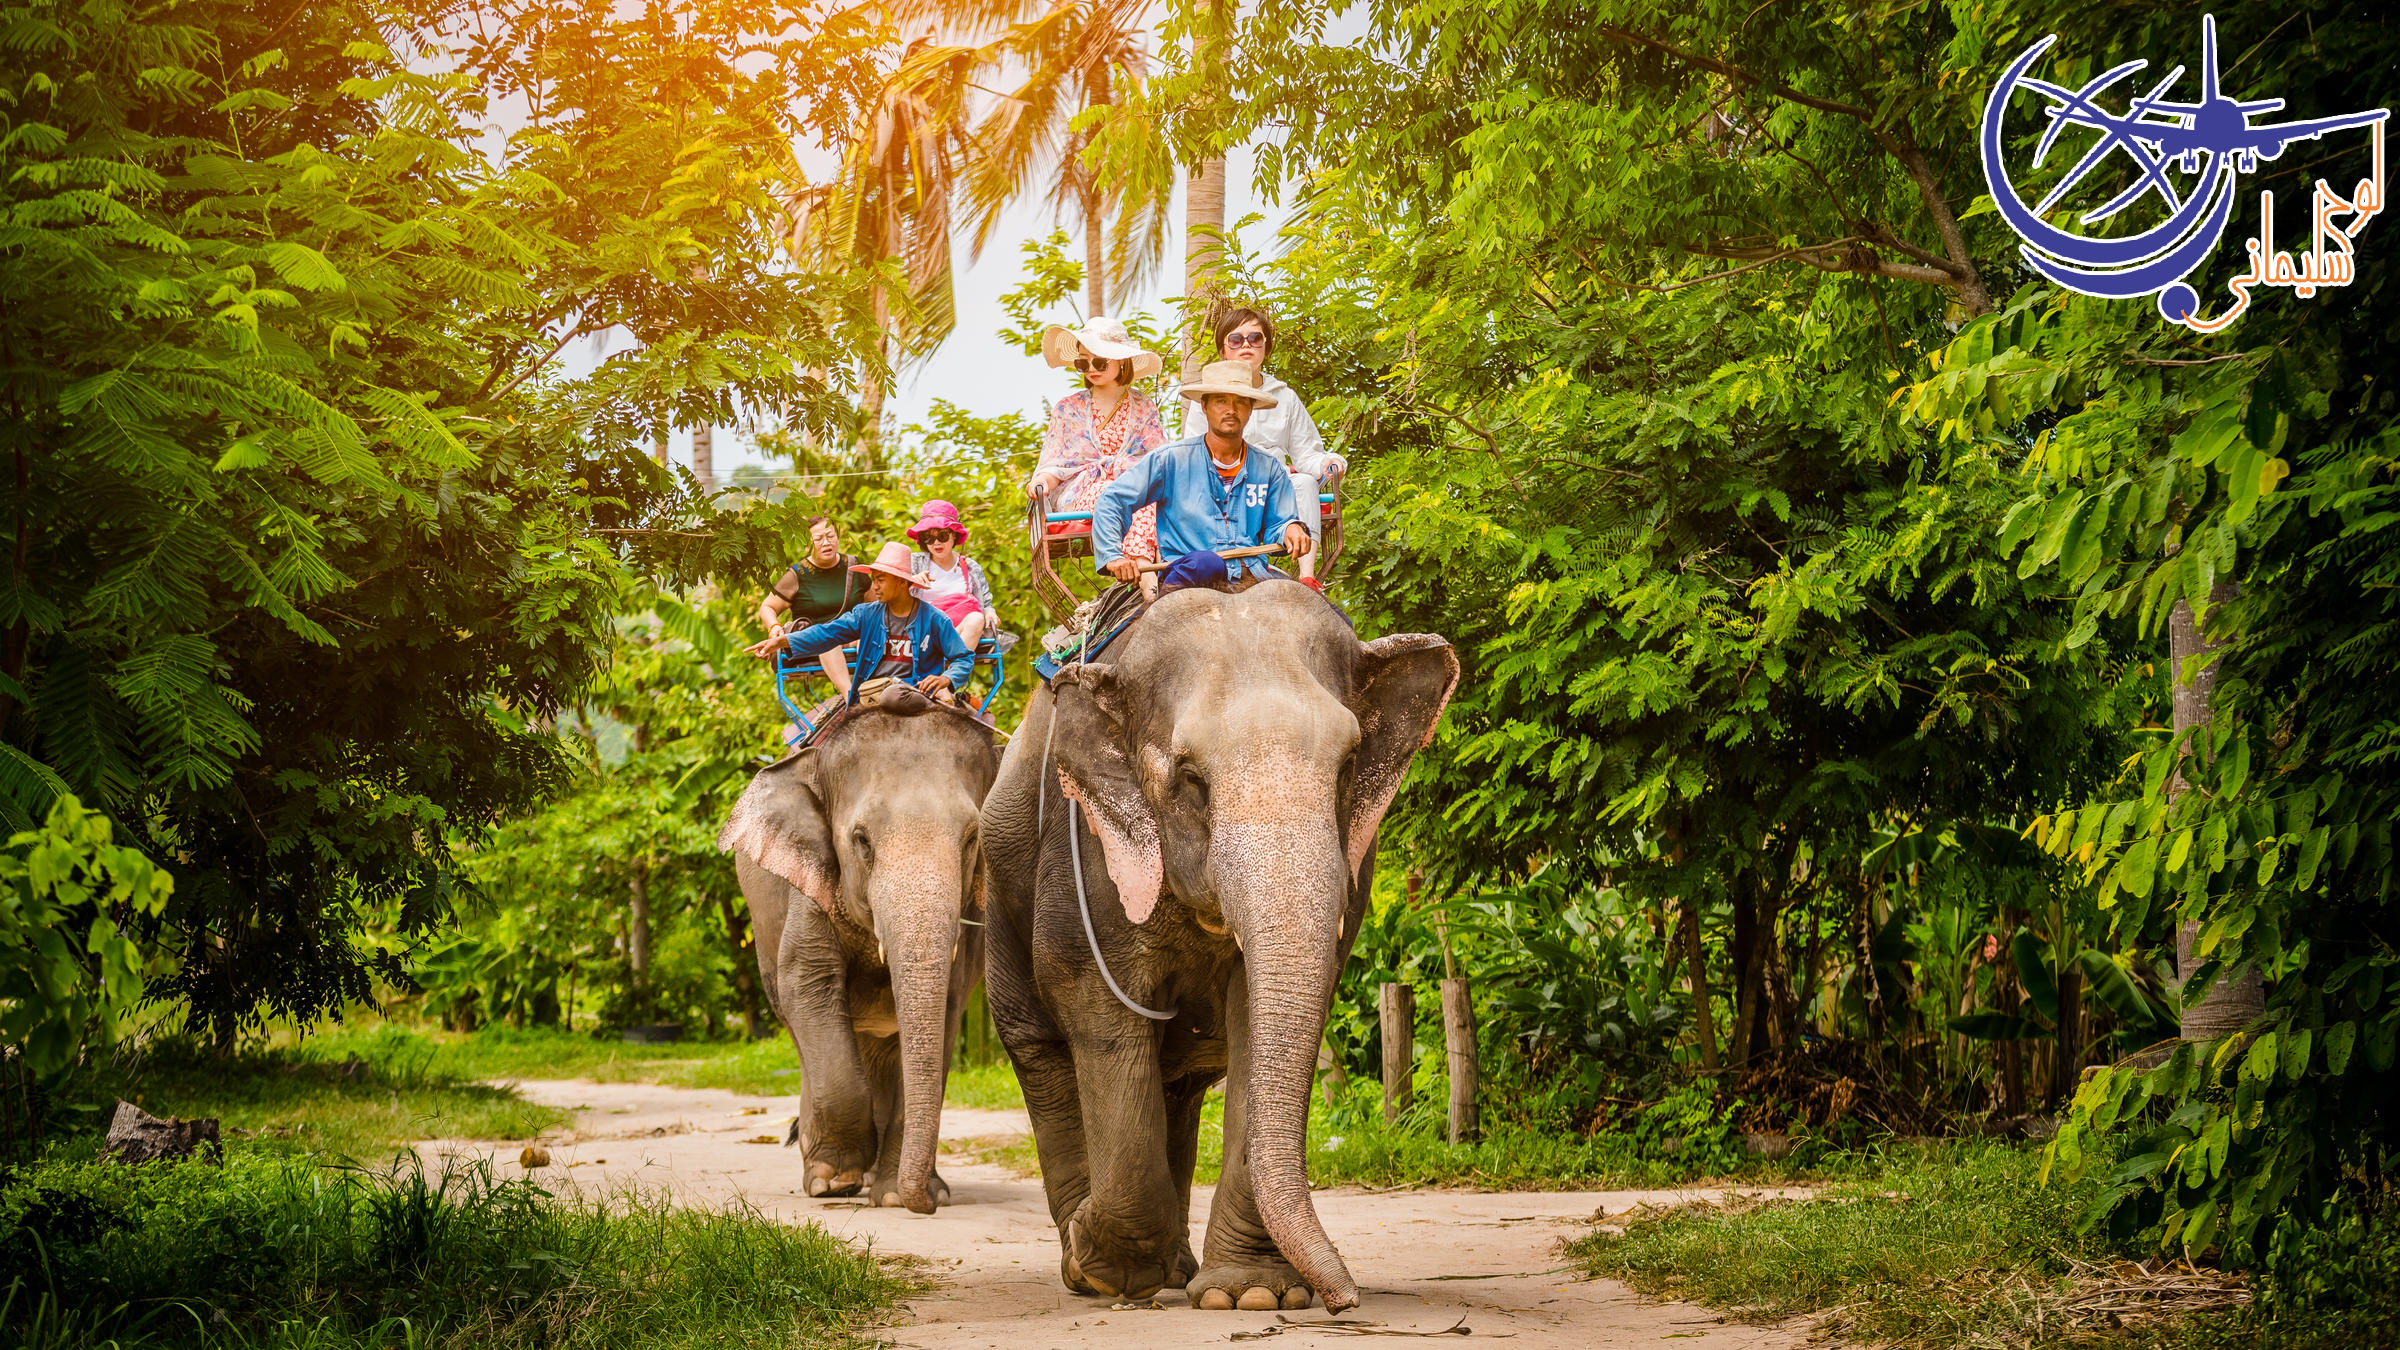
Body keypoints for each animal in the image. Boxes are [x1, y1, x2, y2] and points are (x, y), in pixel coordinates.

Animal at [710, 691, 993, 1210]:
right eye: (861, 840)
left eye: (970, 838)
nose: (927, 1204)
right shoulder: (811, 885)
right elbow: (807, 983)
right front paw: (837, 1180)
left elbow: (946, 1007)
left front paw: (899, 1196)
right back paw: (824, 1170)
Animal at [979, 581, 1459, 1316]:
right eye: (1190, 778)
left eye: (1348, 767)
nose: (1344, 1299)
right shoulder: (1083, 850)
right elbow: (1096, 1002)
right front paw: (1107, 1264)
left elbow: (1257, 1017)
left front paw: (1251, 1294)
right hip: (1000, 901)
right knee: (1042, 1053)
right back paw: (1085, 1268)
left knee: (1176, 1086)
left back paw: (1172, 1267)